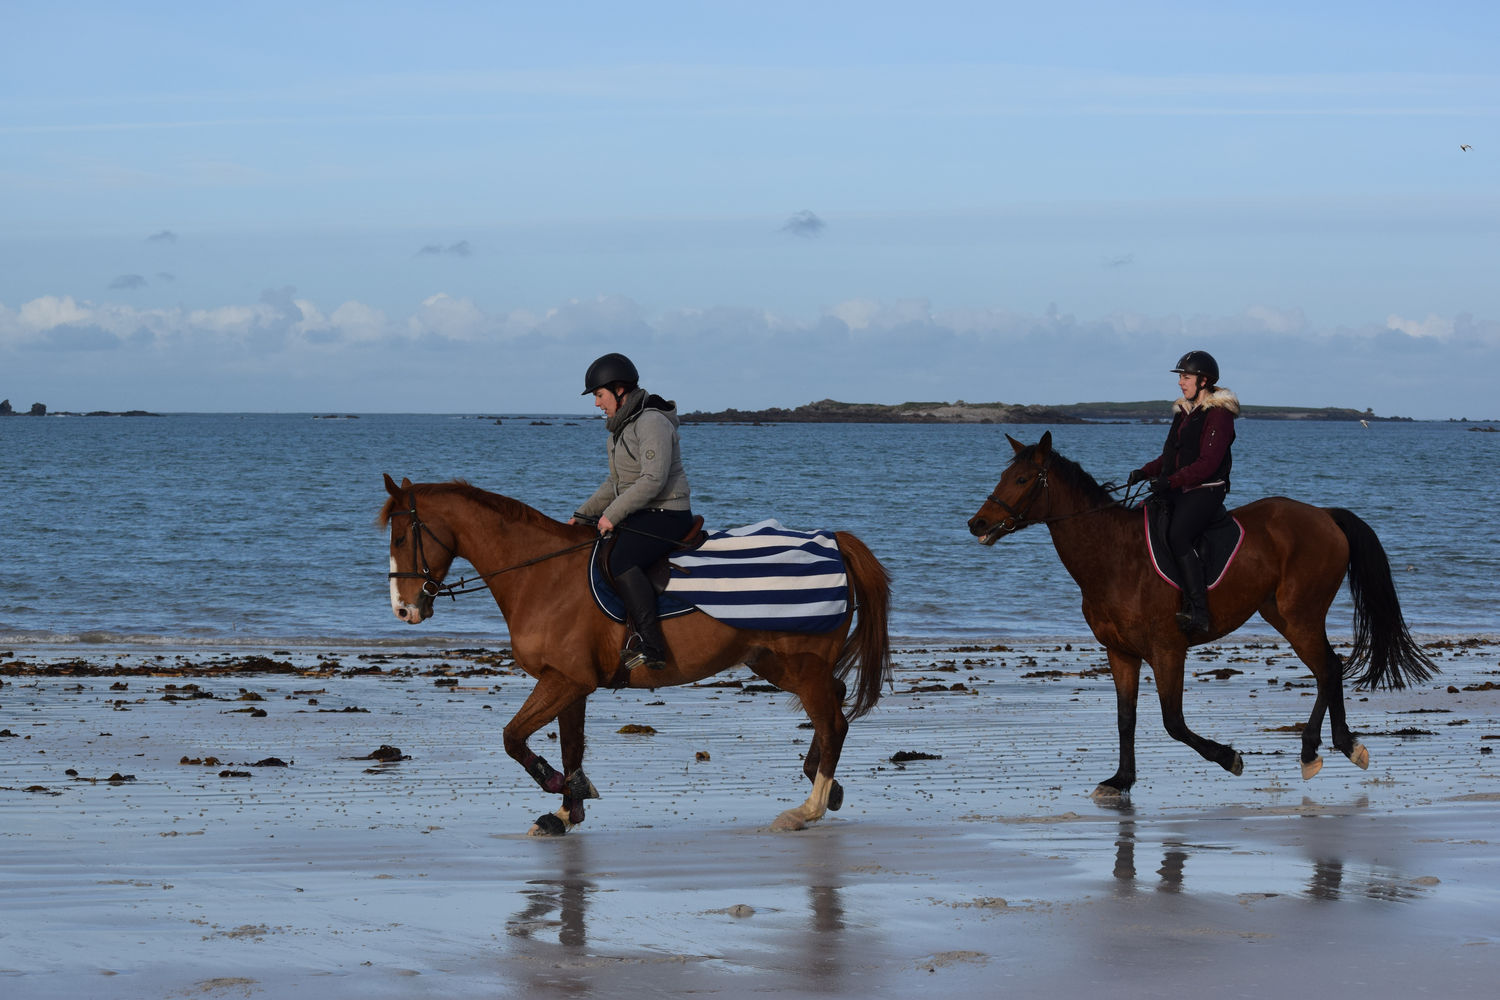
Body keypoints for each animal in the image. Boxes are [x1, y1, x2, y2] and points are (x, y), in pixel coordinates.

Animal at [381, 473, 888, 833]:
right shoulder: (570, 683)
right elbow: (568, 744)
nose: (404, 609)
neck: (543, 576)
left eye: (402, 537)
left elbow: (513, 737)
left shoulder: (565, 680)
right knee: (834, 700)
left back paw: (808, 808)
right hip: (775, 662)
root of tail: (834, 543)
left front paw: (559, 786)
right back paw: (823, 784)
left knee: (834, 723)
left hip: (801, 665)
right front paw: (565, 811)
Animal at [966, 434, 1434, 803]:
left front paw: (1229, 758)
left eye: (1022, 480)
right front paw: (1120, 781)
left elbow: (1173, 723)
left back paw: (1327, 749)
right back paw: (1326, 748)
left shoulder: (1168, 650)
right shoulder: (1121, 653)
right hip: (1282, 616)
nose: (978, 523)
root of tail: (1324, 515)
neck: (1114, 556)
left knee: (1329, 668)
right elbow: (1125, 719)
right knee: (1327, 670)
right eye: (1005, 476)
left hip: (1300, 617)